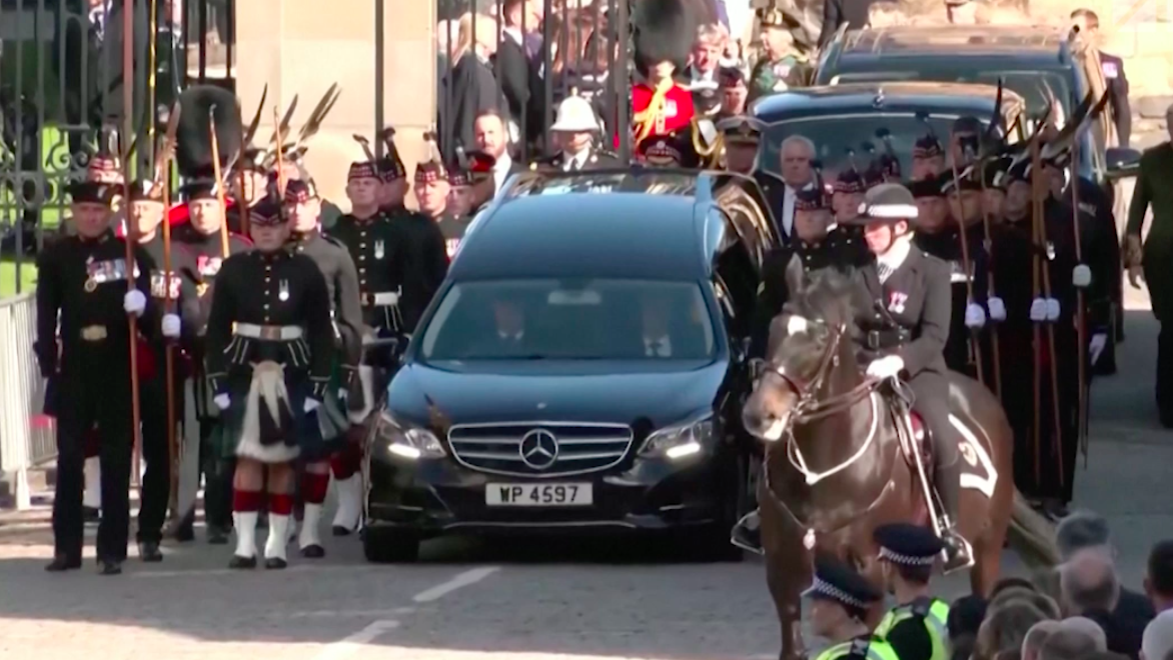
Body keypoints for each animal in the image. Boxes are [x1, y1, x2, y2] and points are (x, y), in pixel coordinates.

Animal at [741, 261, 1065, 660]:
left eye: (818, 340)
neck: (821, 475)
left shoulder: (867, 573)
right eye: (775, 328)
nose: (758, 415)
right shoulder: (782, 574)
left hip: (987, 547)